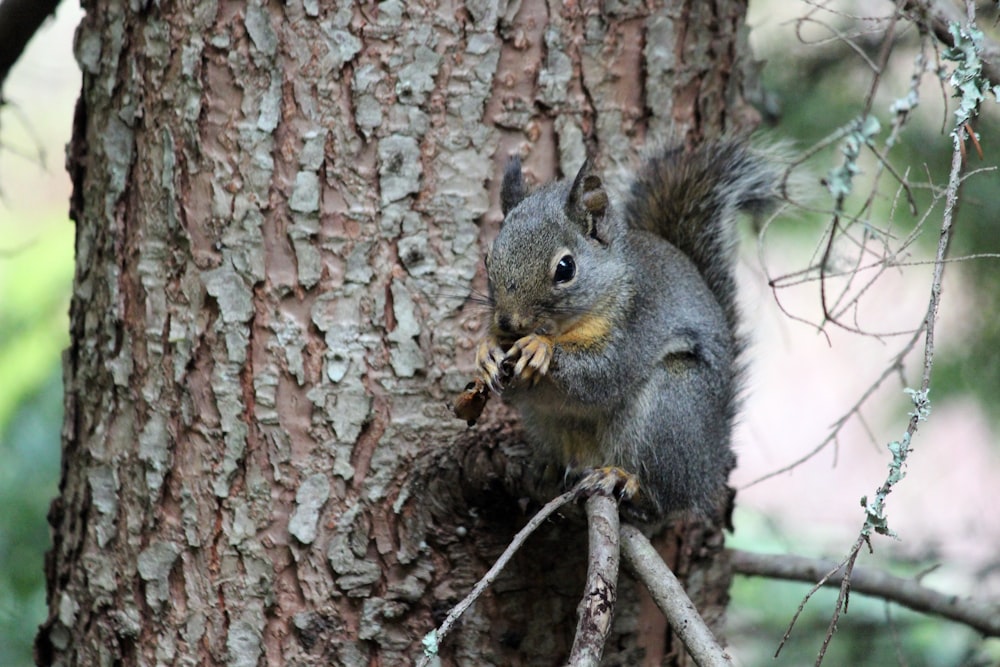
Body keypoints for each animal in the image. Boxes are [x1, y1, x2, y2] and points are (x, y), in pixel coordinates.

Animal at [474, 141, 780, 524]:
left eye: (565, 268)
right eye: (488, 259)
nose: (509, 323)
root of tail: (710, 467)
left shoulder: (638, 320)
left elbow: (604, 372)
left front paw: (539, 347)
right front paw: (485, 351)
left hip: (671, 407)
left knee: (663, 499)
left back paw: (624, 479)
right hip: (545, 423)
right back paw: (549, 466)